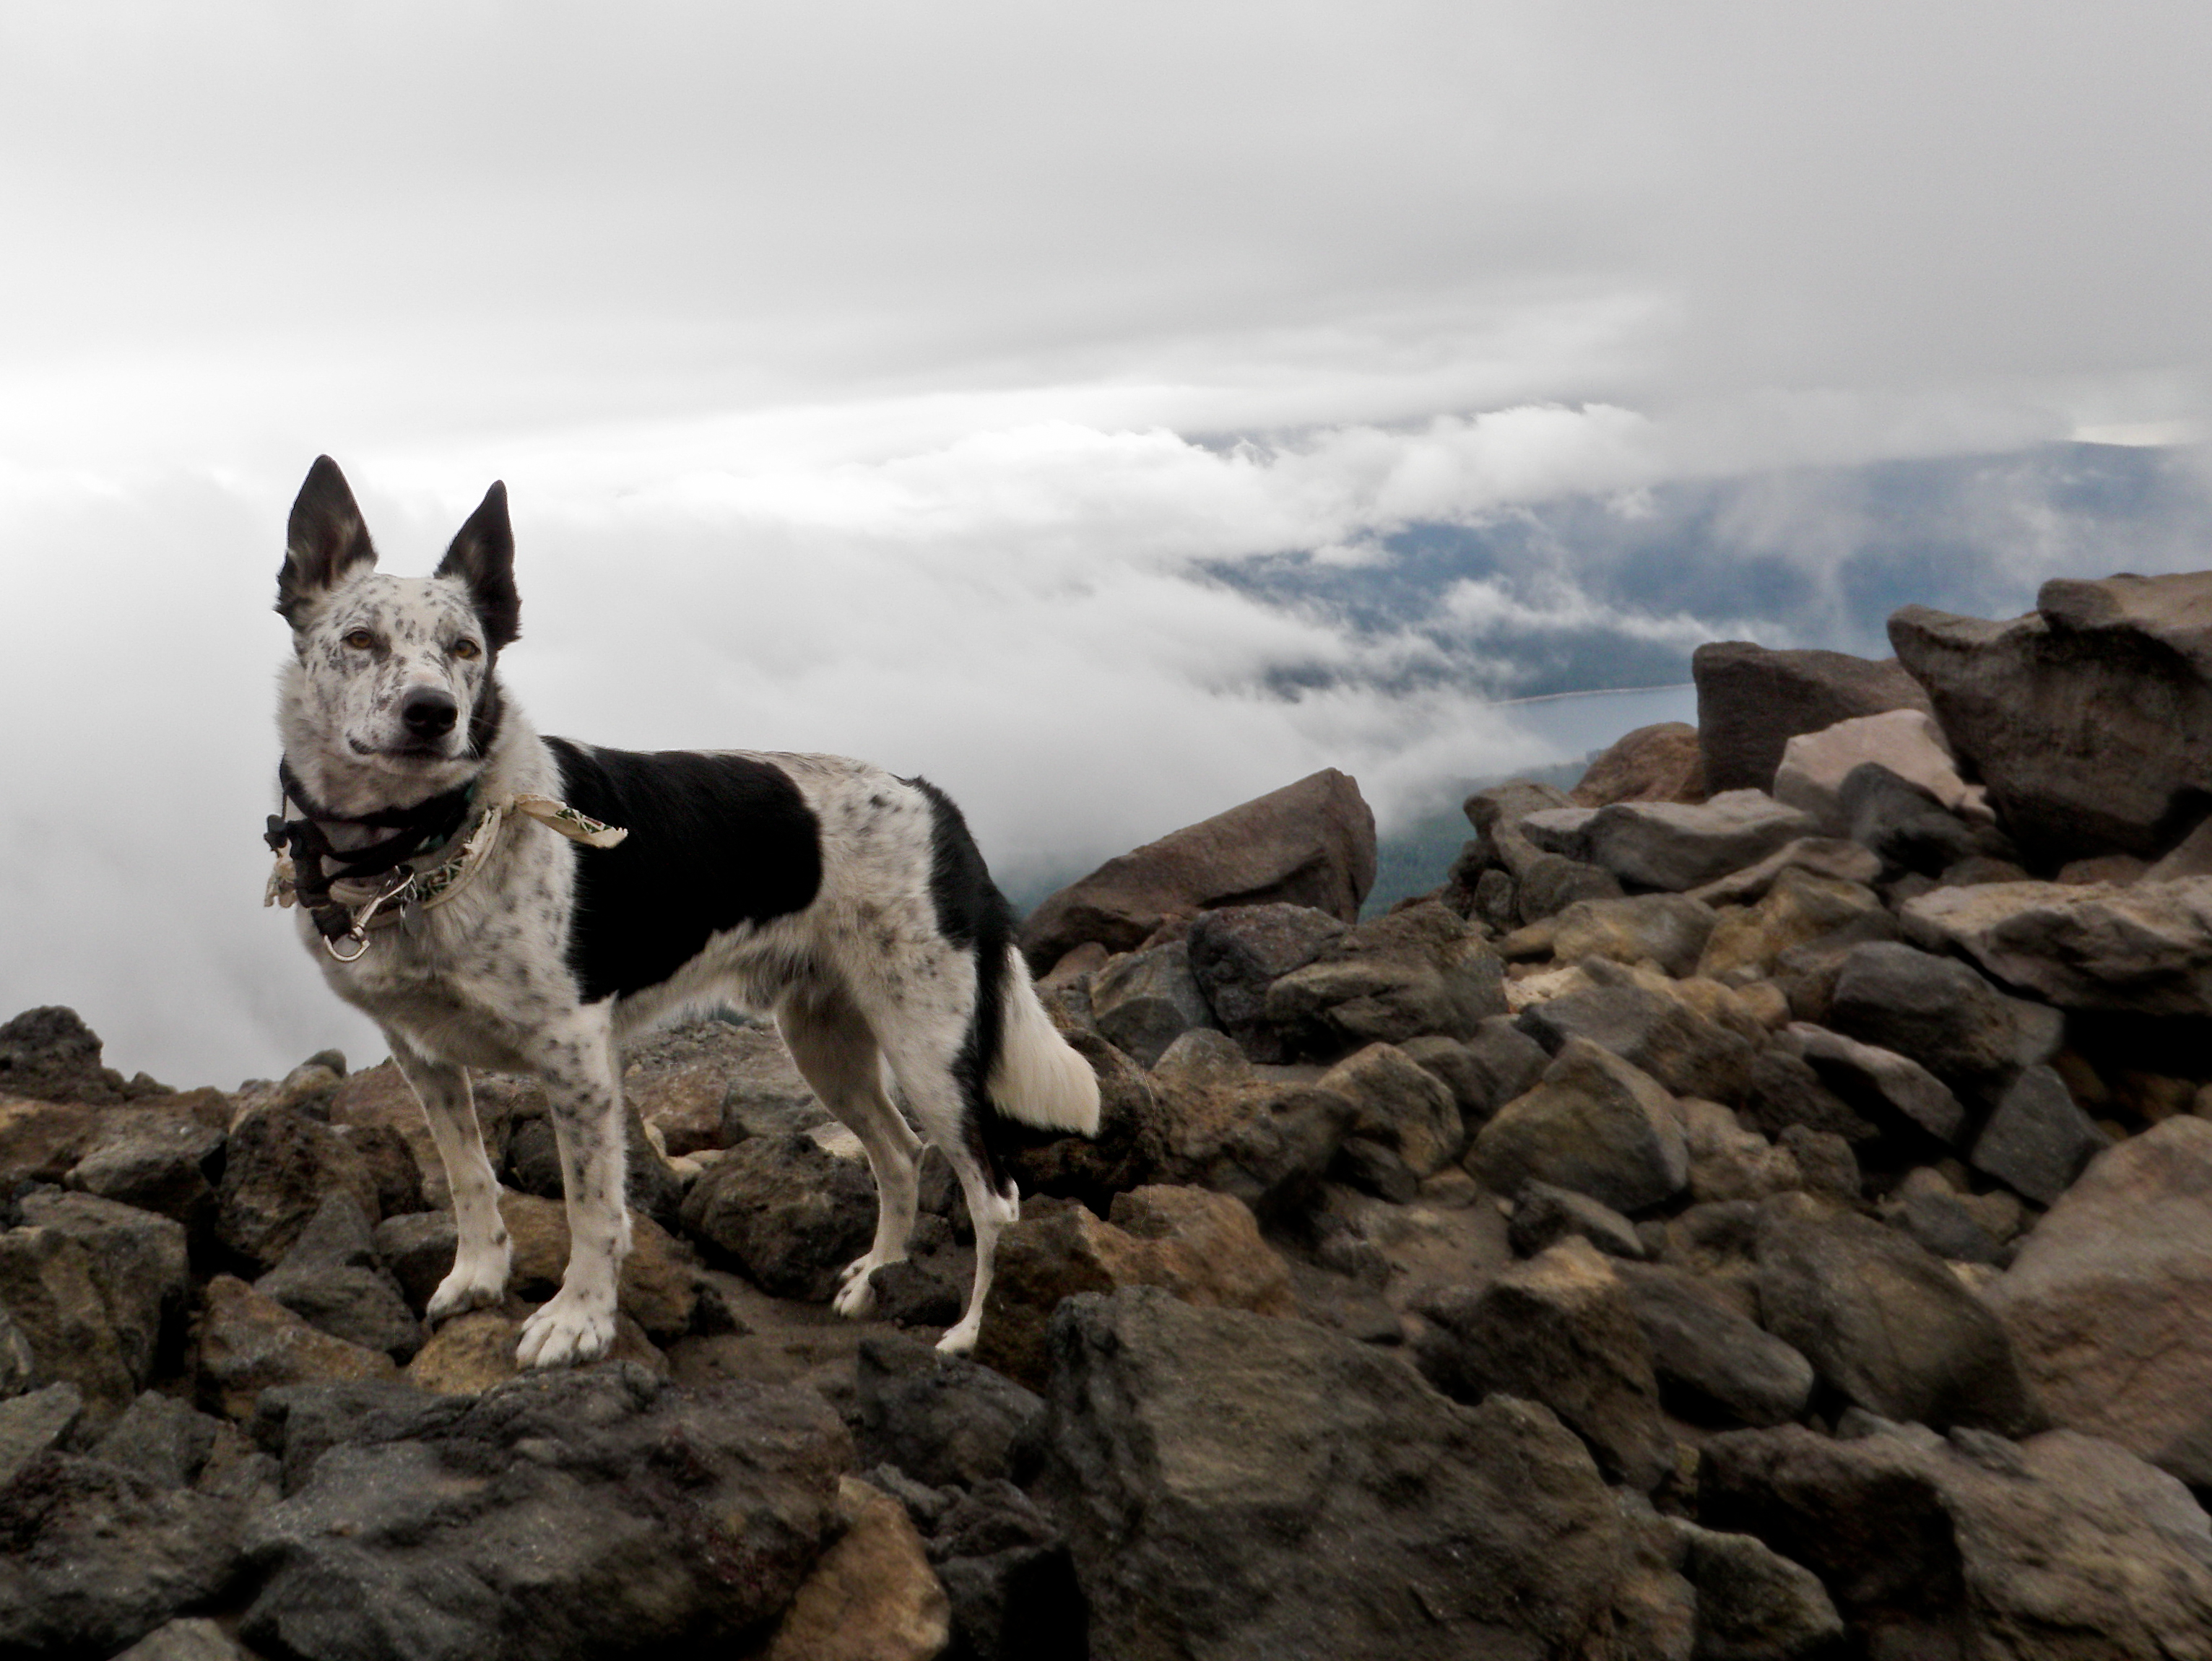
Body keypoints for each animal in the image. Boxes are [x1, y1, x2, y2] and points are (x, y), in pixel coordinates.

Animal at [267, 455, 1097, 1362]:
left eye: (465, 649)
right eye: (360, 640)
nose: (433, 713)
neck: (426, 843)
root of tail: (934, 799)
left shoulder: (577, 1054)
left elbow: (593, 1205)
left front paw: (580, 1318)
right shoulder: (421, 1054)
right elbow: (468, 1174)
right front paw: (479, 1274)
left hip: (929, 1043)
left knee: (993, 1191)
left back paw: (970, 1329)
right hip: (824, 1036)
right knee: (900, 1153)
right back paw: (877, 1277)